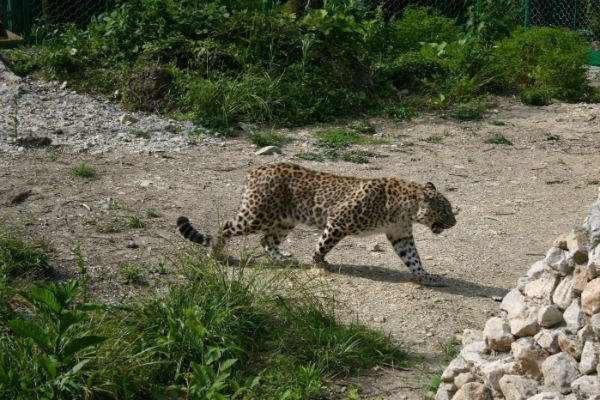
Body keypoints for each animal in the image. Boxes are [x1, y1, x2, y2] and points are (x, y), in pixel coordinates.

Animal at [176, 161, 458, 286]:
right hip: (256, 215)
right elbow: (323, 245)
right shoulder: (339, 221)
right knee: (225, 226)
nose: (455, 222)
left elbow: (412, 257)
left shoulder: (401, 235)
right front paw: (319, 264)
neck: (406, 209)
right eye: (445, 210)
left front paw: (425, 276)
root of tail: (255, 170)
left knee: (266, 241)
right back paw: (215, 252)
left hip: (284, 220)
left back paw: (283, 258)